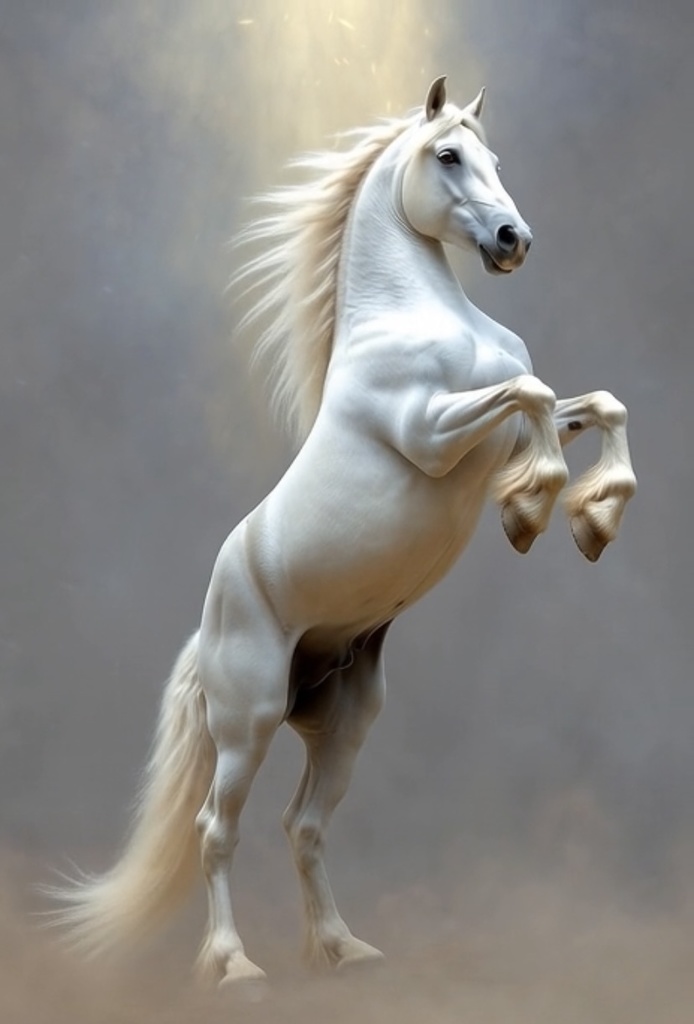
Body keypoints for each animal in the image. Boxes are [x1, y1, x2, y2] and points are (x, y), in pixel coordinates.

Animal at [49, 77, 636, 988]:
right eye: (447, 156)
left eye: (496, 160)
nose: (514, 241)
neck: (418, 315)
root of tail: (209, 628)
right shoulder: (435, 433)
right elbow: (534, 393)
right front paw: (531, 512)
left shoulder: (497, 431)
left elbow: (594, 403)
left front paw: (596, 515)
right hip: (247, 723)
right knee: (217, 831)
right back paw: (235, 966)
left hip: (347, 722)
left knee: (304, 825)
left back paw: (342, 947)